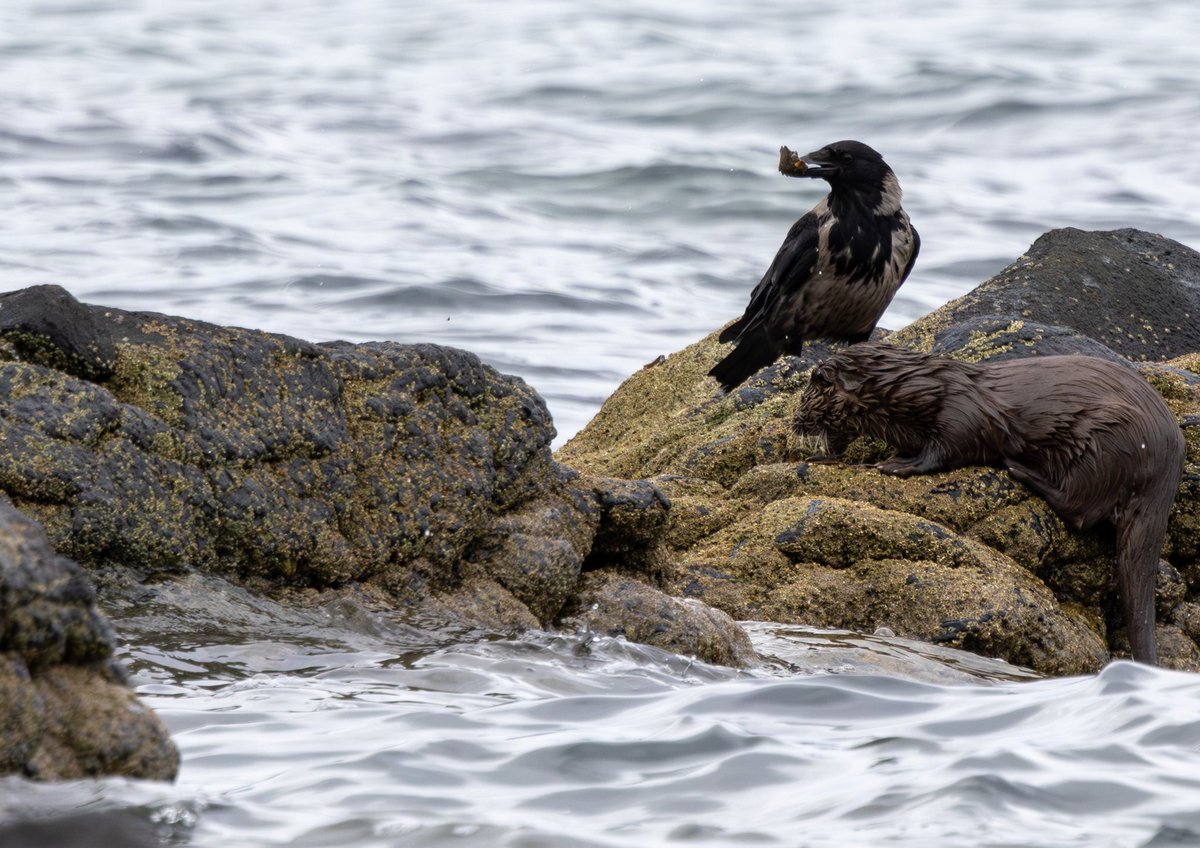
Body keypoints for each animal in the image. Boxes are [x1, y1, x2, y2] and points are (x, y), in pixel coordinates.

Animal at [793, 341, 1186, 665]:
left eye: (805, 398)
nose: (795, 422)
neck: (915, 391)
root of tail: (1165, 471)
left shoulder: (962, 416)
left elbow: (945, 451)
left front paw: (895, 464)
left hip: (1105, 443)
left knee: (1078, 509)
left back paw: (1019, 469)